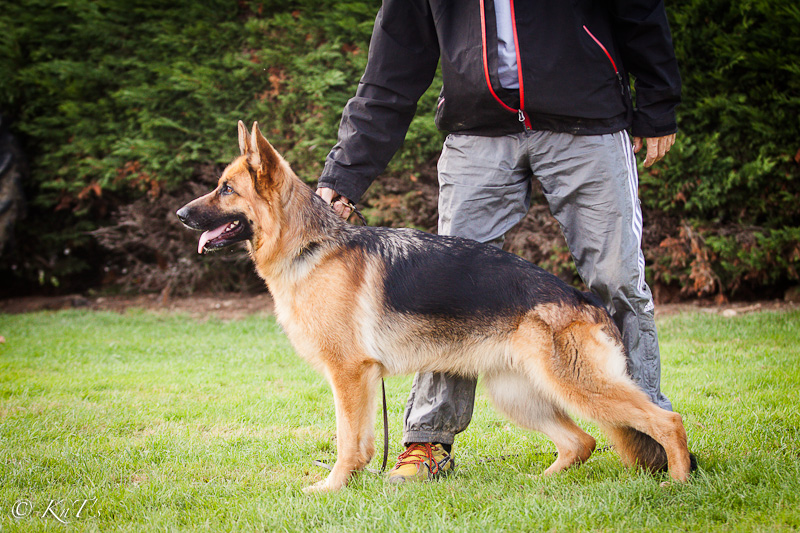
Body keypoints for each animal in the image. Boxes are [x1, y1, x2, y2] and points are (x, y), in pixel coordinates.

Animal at [178, 122, 692, 492]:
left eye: (226, 189)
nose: (180, 215)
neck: (313, 246)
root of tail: (586, 299)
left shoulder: (349, 375)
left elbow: (347, 442)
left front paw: (332, 487)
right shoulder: (362, 380)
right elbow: (362, 442)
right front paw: (353, 483)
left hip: (578, 387)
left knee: (666, 420)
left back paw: (680, 483)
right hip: (518, 394)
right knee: (581, 441)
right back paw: (540, 484)